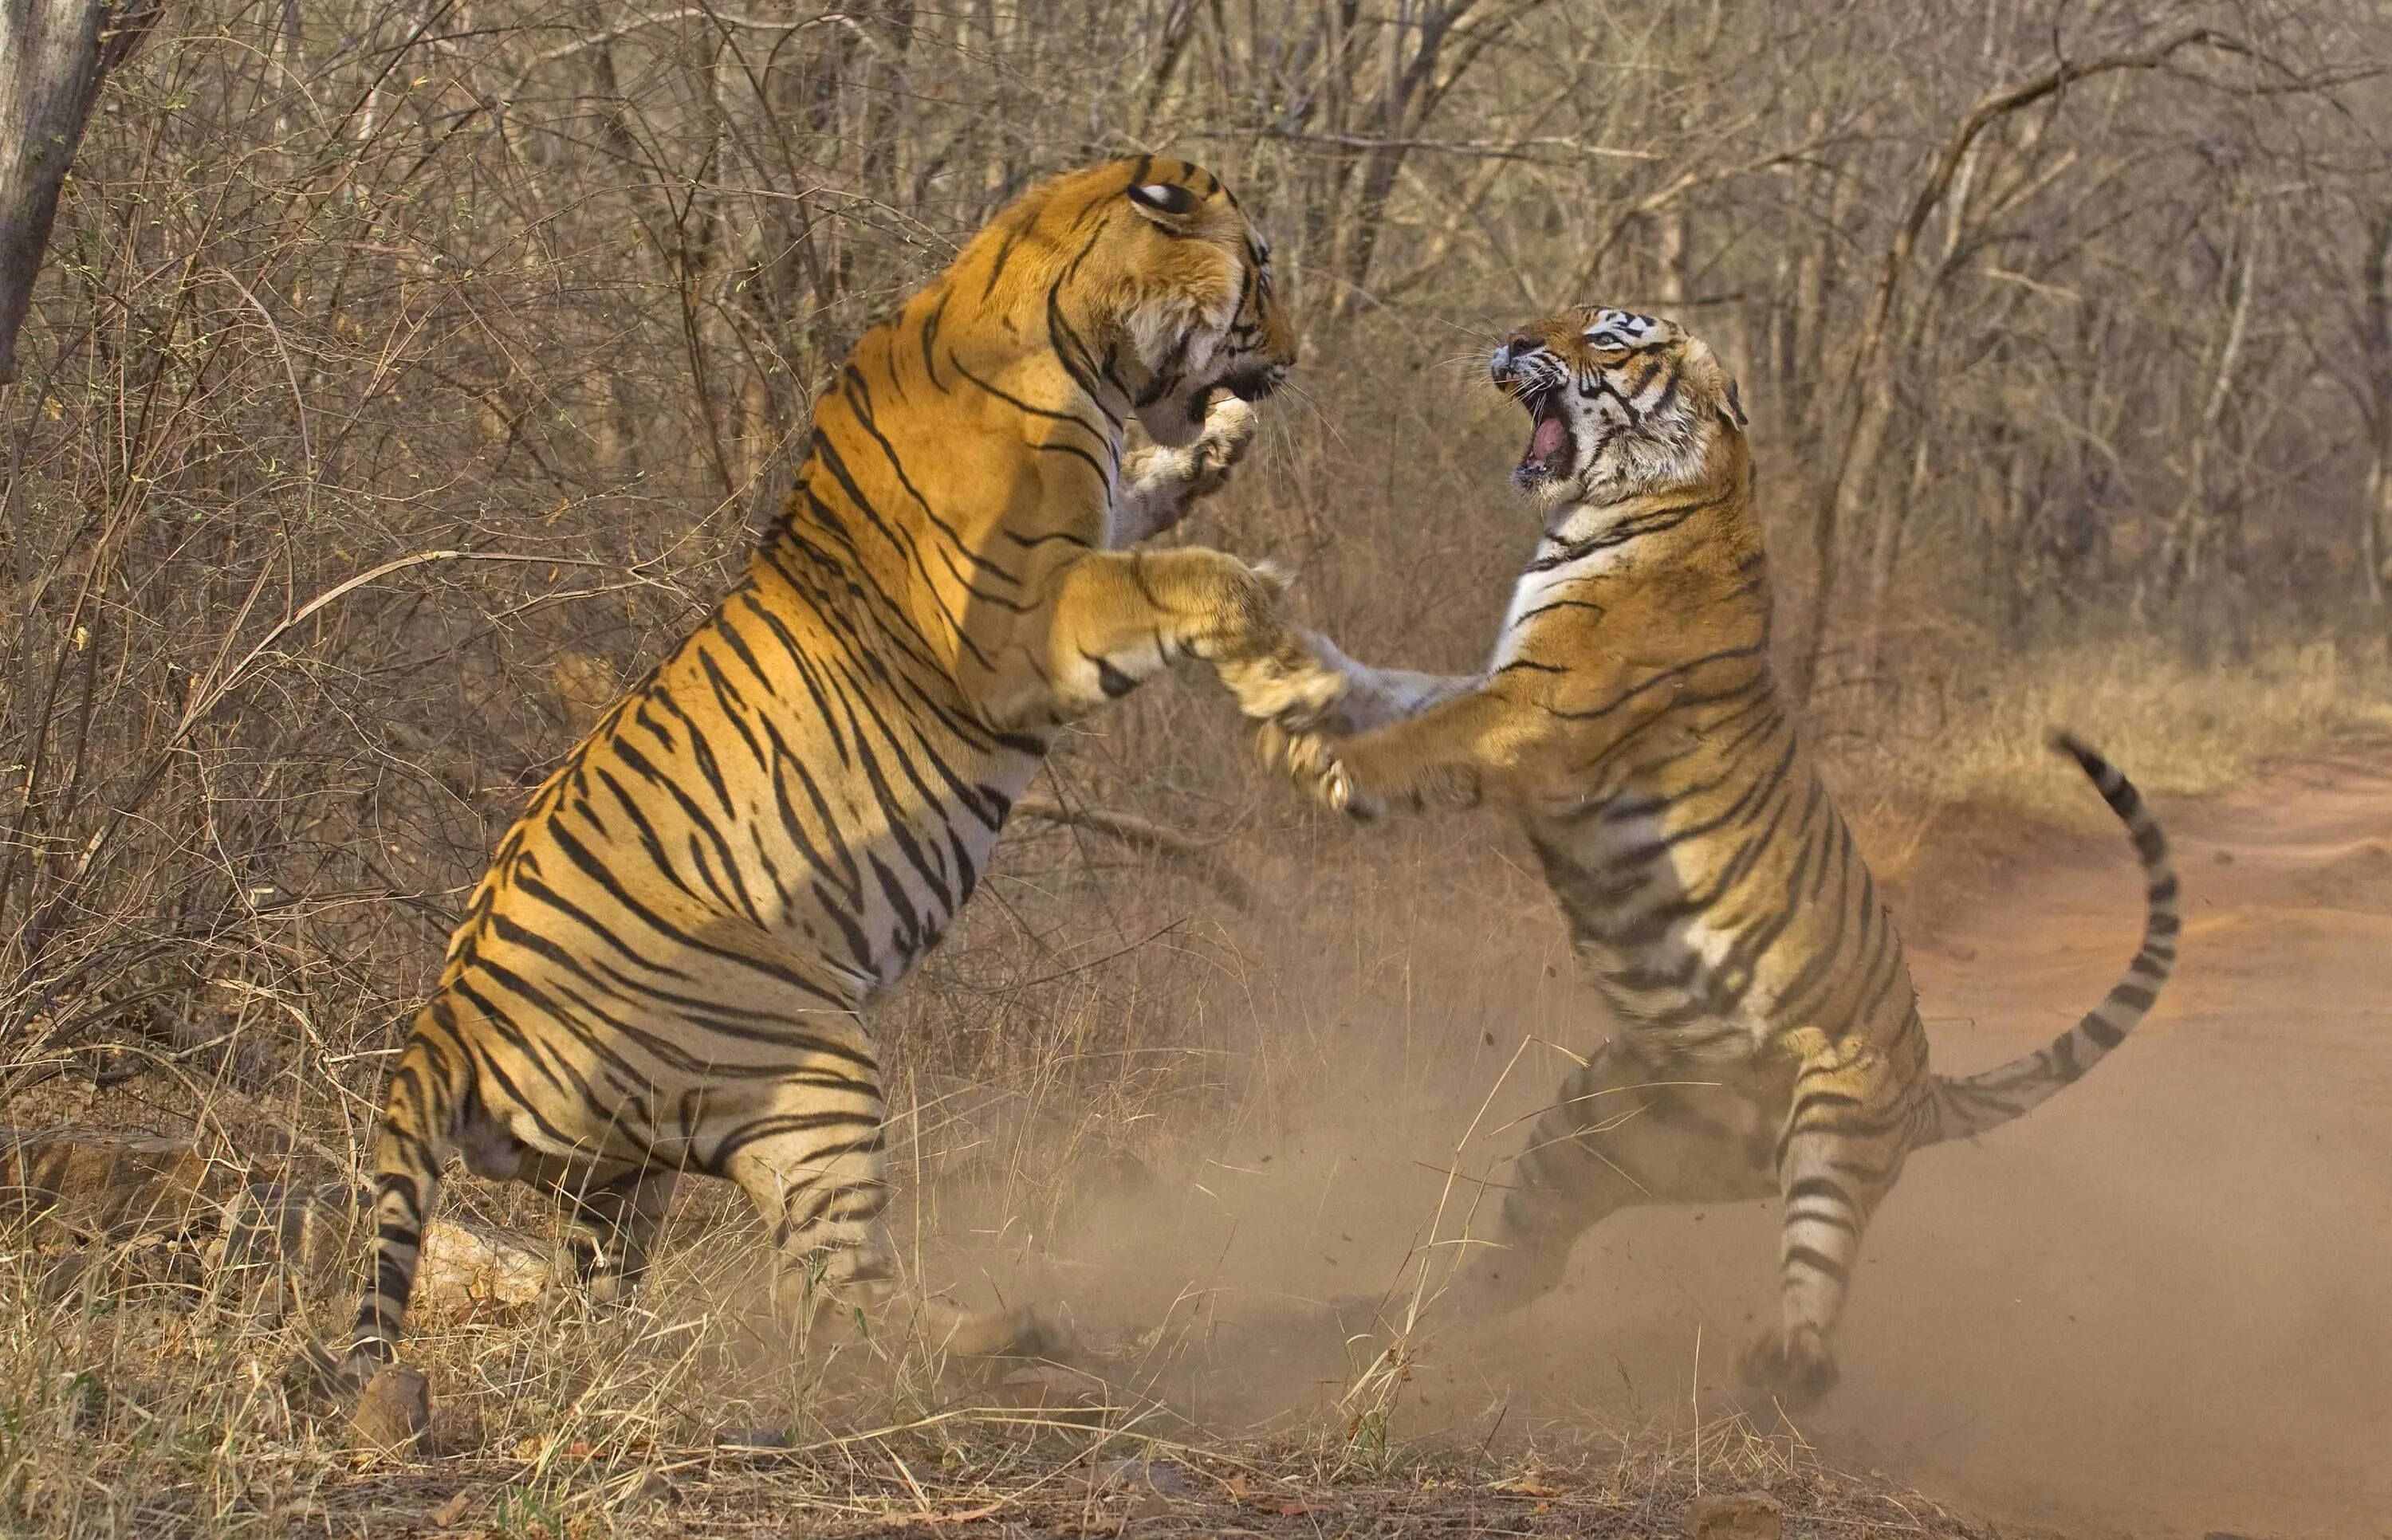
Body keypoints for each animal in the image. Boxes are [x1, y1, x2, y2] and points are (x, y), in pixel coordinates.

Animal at [337, 159, 1349, 1397]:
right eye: (1260, 267)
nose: (1296, 354)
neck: (1067, 325)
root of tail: (446, 1018)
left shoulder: (1091, 533)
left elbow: (1154, 498)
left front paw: (1218, 449)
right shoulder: (1023, 633)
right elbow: (1195, 577)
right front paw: (1292, 670)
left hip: (621, 1180)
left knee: (614, 1299)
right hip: (813, 1062)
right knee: (829, 1307)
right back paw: (1019, 1339)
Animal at [1282, 306, 2182, 1406]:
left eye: (1608, 338)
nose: (1509, 339)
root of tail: (1929, 1087)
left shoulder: (1530, 709)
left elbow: (1420, 732)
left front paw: (1324, 761)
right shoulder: (1494, 687)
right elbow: (1393, 688)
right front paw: (1286, 668)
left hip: (1835, 1125)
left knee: (1814, 1281)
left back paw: (1782, 1368)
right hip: (1590, 1129)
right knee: (1522, 1264)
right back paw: (1384, 1319)